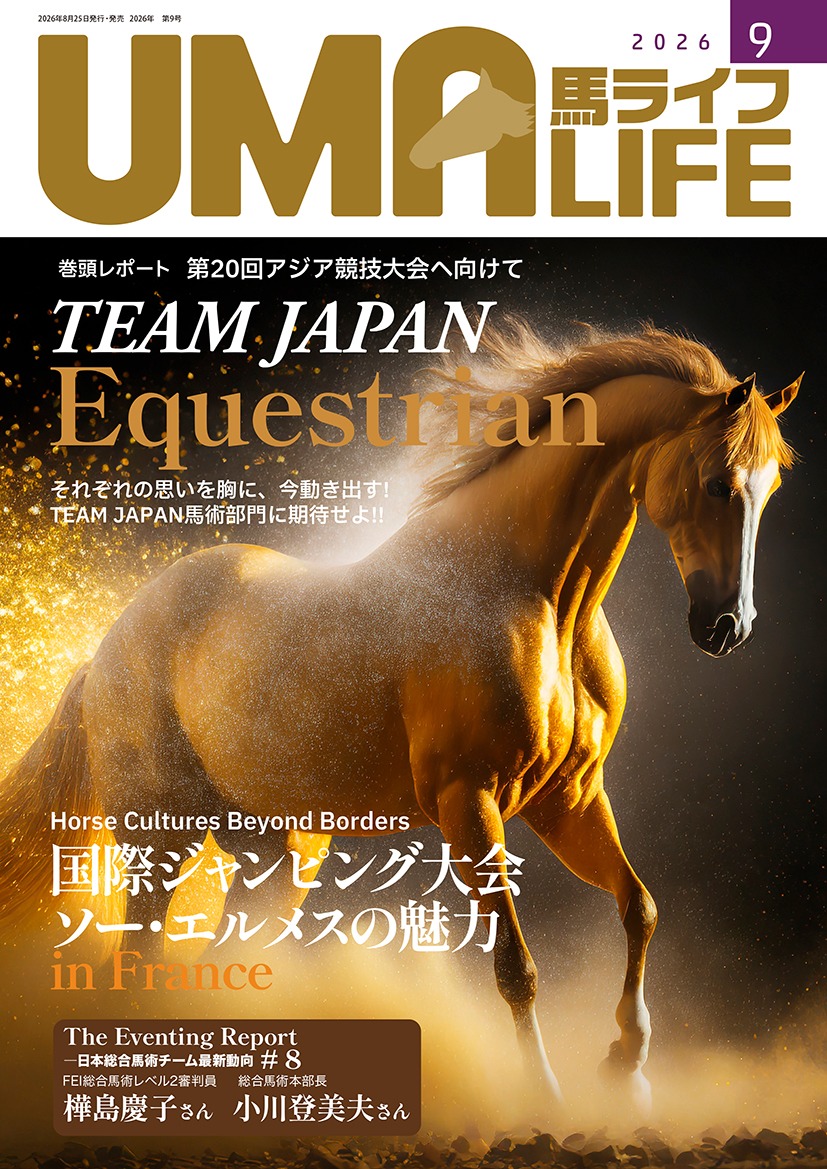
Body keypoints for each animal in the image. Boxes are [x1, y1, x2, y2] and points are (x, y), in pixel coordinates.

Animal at [0, 325, 799, 1112]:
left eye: (772, 489)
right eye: (717, 483)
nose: (727, 627)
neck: (528, 594)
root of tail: (109, 645)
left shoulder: (567, 799)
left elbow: (640, 907)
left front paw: (625, 1069)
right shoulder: (466, 800)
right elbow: (517, 966)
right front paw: (547, 1097)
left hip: (279, 851)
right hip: (158, 836)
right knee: (139, 959)